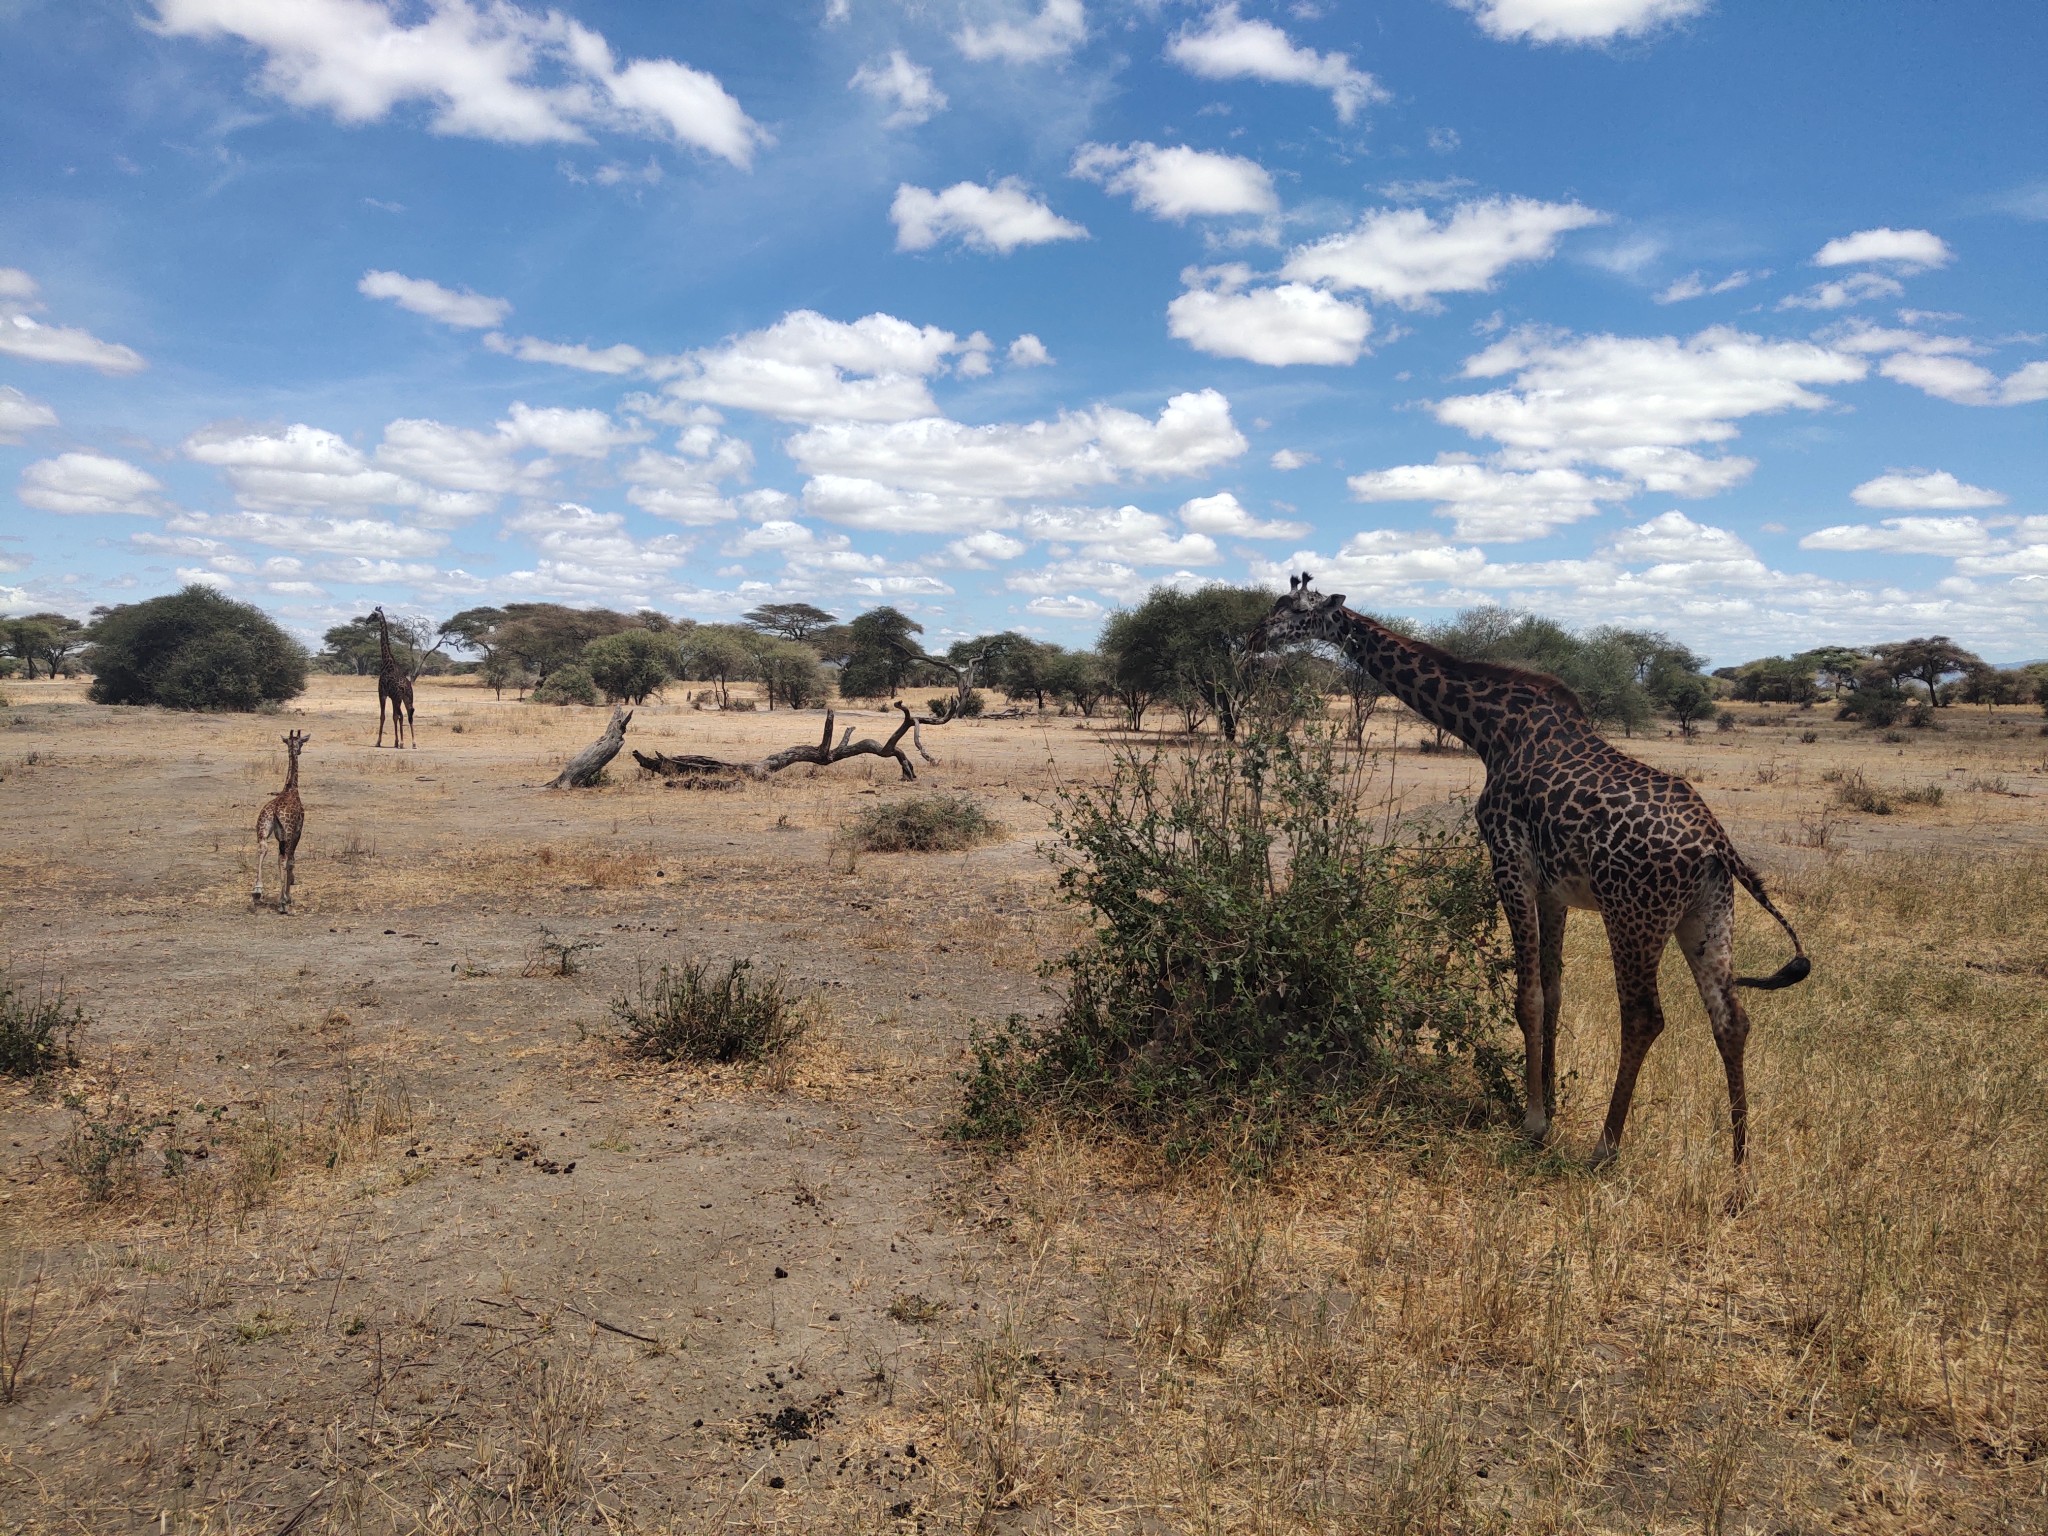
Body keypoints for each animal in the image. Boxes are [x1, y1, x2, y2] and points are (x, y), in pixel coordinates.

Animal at [253, 729, 309, 913]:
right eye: (301, 742)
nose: (299, 751)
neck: (291, 788)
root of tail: (275, 811)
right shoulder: (298, 831)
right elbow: (291, 861)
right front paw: (288, 897)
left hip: (262, 828)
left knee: (262, 848)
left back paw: (257, 891)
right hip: (288, 833)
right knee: (283, 859)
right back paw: (282, 902)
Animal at [372, 606, 415, 753]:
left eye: (372, 615)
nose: (367, 620)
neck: (387, 662)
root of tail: (406, 687)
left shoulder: (382, 693)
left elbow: (383, 716)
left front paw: (378, 742)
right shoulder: (391, 697)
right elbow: (394, 716)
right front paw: (395, 742)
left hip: (398, 698)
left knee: (402, 715)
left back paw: (403, 742)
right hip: (407, 698)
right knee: (409, 715)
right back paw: (413, 743)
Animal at [1245, 577, 1810, 1163]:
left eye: (1294, 608)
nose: (1252, 637)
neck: (1489, 728)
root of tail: (1717, 844)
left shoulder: (1509, 861)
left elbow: (1528, 997)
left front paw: (1533, 1121)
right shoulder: (1554, 889)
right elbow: (1554, 992)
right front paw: (1552, 1102)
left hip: (1633, 914)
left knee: (1643, 1016)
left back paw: (1605, 1148)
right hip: (1706, 915)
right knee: (1731, 1018)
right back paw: (1739, 1166)